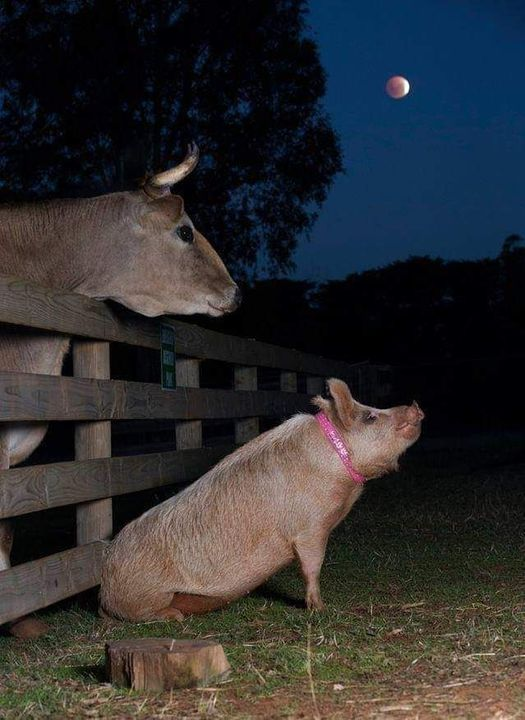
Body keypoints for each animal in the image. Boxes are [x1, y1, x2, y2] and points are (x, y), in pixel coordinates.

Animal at [99, 379, 424, 621]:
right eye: (371, 416)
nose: (416, 405)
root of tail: (103, 589)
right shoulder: (308, 528)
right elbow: (312, 565)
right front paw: (321, 609)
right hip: (147, 595)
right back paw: (174, 618)